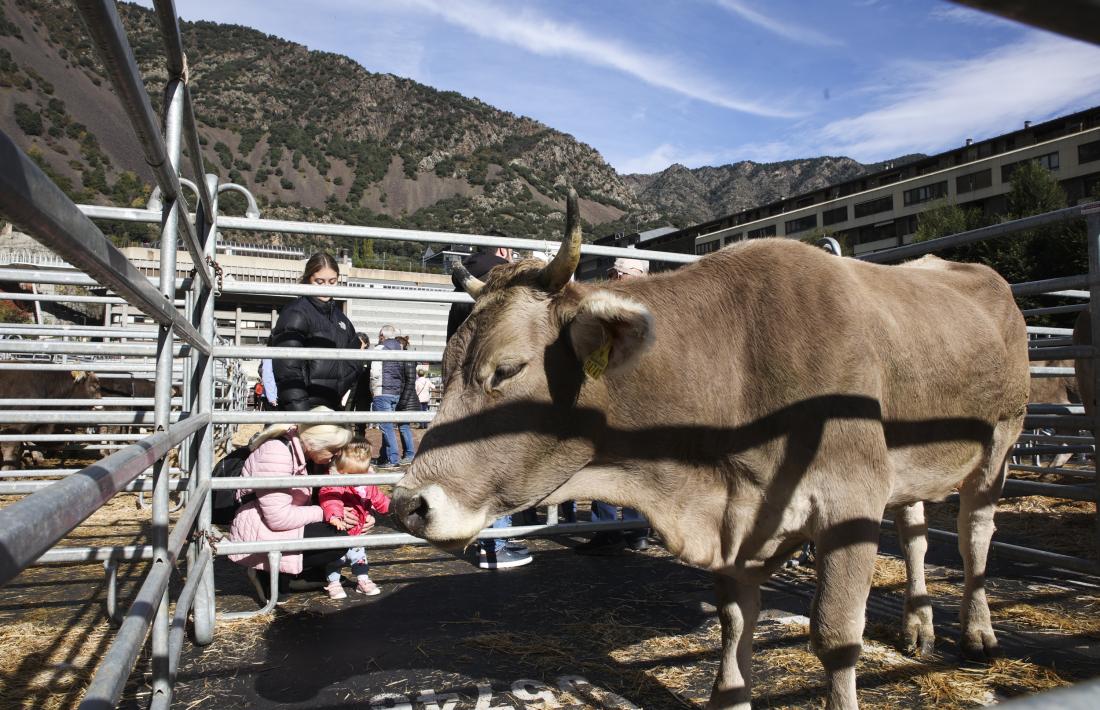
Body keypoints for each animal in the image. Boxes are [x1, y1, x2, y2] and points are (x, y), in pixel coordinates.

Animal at [393, 191, 1029, 704]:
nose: (407, 505)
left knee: (974, 533)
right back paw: (919, 625)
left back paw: (978, 631)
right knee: (916, 533)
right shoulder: (735, 521)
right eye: (444, 364)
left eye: (506, 369)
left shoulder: (849, 502)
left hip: (999, 443)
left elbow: (836, 637)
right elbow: (732, 626)